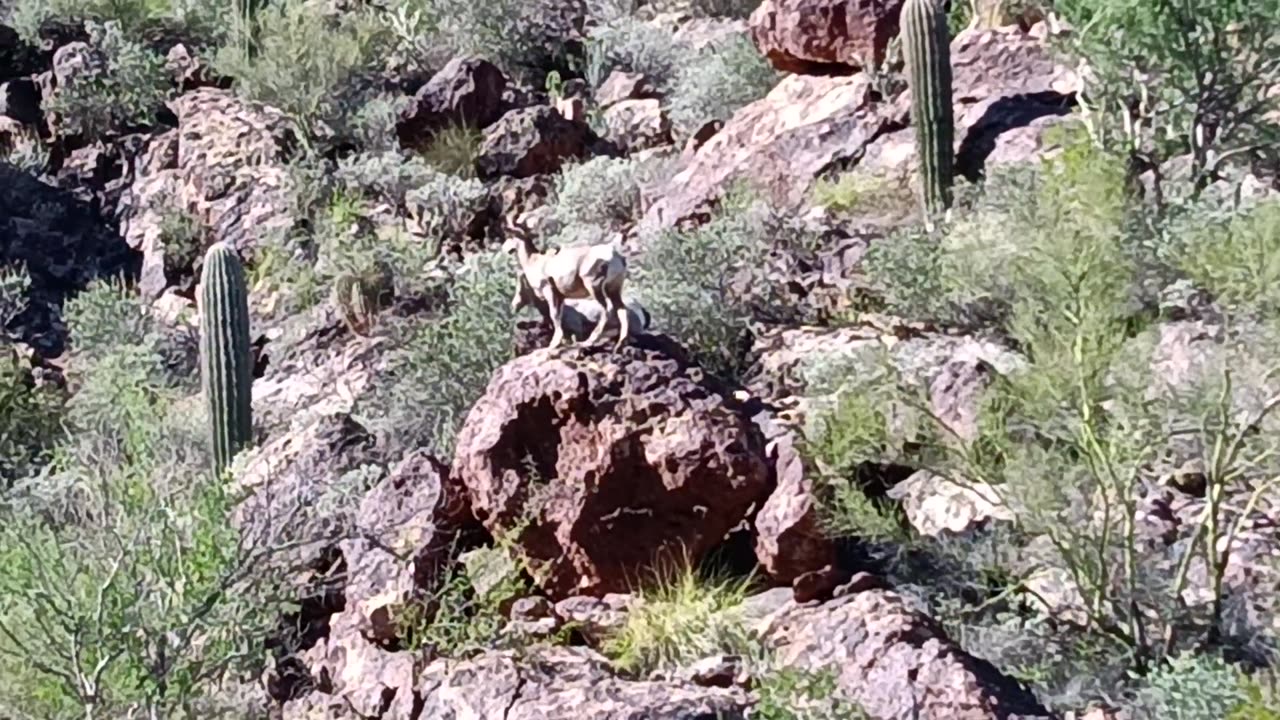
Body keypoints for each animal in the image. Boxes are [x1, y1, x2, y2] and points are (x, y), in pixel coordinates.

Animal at [504, 221, 634, 351]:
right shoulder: (560, 297)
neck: (534, 261)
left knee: (606, 309)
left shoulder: (549, 292)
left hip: (594, 287)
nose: (505, 249)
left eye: (511, 236)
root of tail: (615, 257)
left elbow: (554, 315)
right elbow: (558, 316)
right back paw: (620, 344)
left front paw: (554, 344)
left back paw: (587, 342)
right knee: (621, 310)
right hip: (613, 290)